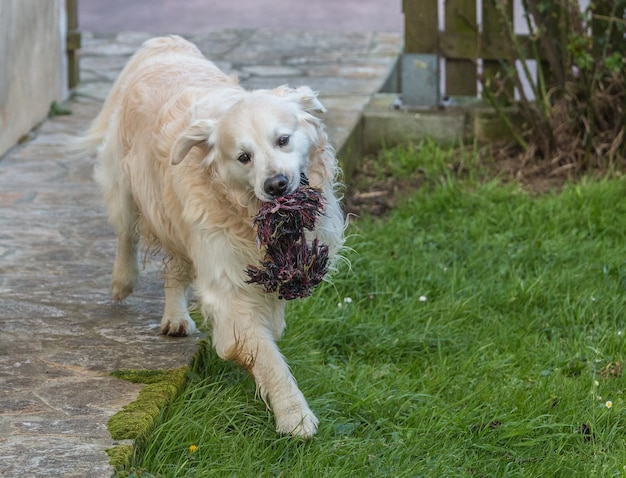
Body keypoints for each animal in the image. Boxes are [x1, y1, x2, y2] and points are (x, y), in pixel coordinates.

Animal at [77, 36, 344, 436]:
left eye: (283, 140)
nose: (276, 185)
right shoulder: (226, 280)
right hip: (126, 187)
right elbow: (266, 356)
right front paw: (294, 415)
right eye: (244, 156)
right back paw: (122, 281)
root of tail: (163, 42)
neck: (244, 212)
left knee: (176, 267)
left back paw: (175, 317)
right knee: (126, 234)